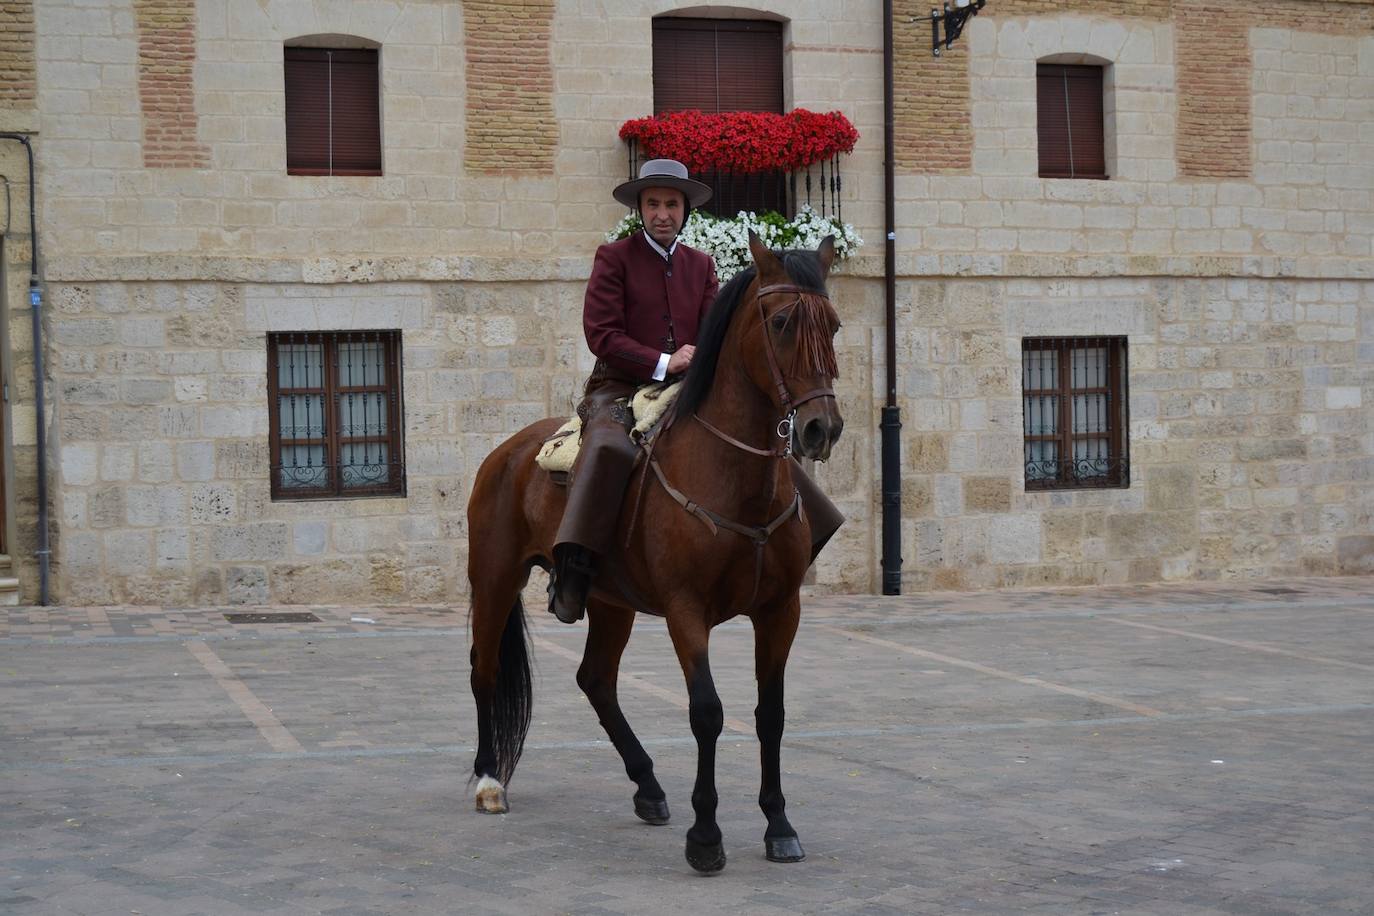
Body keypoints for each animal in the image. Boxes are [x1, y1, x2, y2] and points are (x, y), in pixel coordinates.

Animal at [467, 230, 840, 873]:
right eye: (783, 321)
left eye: (834, 324)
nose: (822, 428)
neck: (734, 476)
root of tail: (506, 451)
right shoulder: (686, 610)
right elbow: (707, 711)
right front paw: (706, 836)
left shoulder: (781, 610)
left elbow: (770, 715)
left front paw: (778, 825)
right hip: (493, 577)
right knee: (484, 669)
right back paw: (490, 781)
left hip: (610, 600)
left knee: (595, 678)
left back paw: (647, 785)